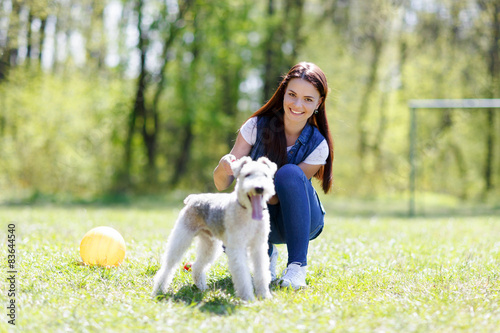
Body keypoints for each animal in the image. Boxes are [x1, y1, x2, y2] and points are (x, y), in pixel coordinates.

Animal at [152, 156, 278, 300]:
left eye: (265, 175)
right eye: (247, 175)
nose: (259, 188)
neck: (248, 211)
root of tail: (193, 198)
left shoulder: (258, 246)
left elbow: (261, 272)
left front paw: (264, 295)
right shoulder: (237, 247)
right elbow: (242, 276)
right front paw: (248, 298)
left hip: (210, 245)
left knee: (197, 266)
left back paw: (201, 287)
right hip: (181, 237)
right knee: (168, 266)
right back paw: (159, 290)